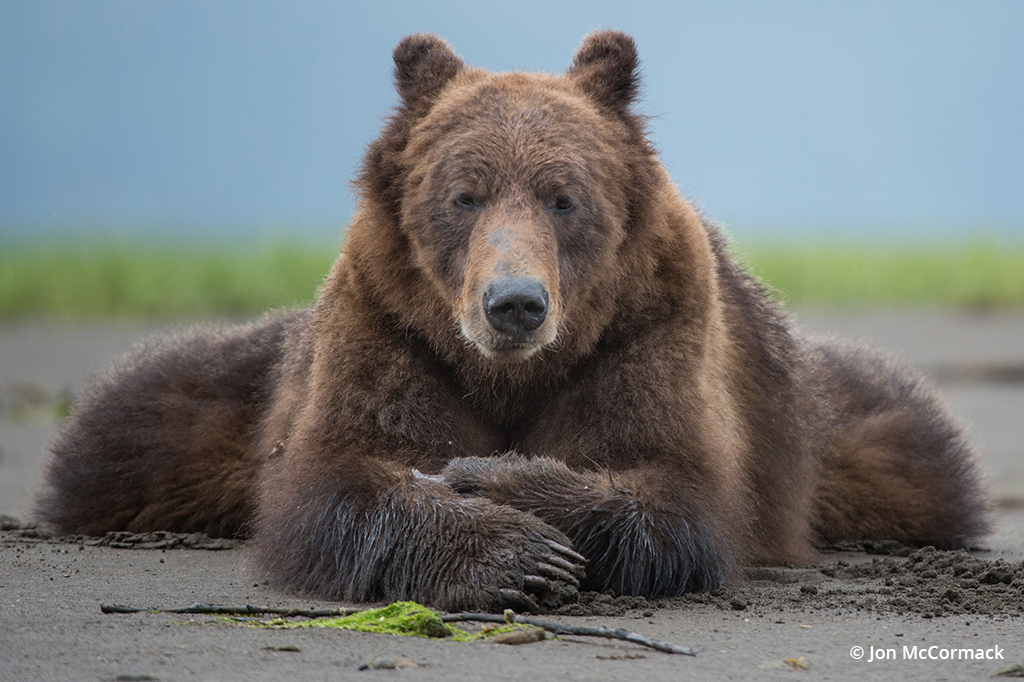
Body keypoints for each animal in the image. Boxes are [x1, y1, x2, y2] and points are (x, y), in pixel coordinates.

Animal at [36, 30, 987, 610]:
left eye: (564, 197)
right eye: (465, 194)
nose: (516, 303)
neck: (507, 371)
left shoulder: (650, 333)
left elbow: (672, 488)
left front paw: (495, 480)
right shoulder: (391, 329)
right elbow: (336, 474)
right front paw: (513, 557)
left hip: (834, 427)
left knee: (911, 447)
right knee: (131, 427)